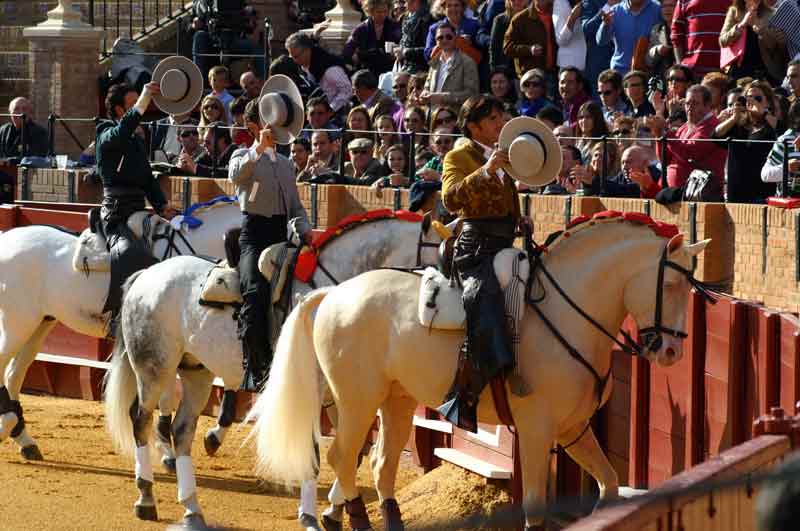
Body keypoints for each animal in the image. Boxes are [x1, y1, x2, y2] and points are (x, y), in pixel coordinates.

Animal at [0, 201, 241, 462]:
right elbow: (167, 395)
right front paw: (168, 450)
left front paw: (212, 436)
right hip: (17, 322)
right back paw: (10, 425)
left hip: (39, 323)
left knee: (14, 374)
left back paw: (24, 440)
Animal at [101, 214, 444, 528]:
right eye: (440, 261)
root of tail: (147, 274)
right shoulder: (311, 389)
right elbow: (316, 452)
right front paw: (310, 516)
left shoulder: (344, 396)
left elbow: (352, 452)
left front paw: (334, 512)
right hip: (154, 367)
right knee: (141, 419)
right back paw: (146, 497)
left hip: (195, 370)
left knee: (182, 429)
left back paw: (192, 508)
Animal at [250, 215, 712, 531]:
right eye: (671, 286)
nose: (672, 351)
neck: (569, 308)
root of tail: (333, 293)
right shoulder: (537, 429)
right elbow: (535, 508)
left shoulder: (573, 428)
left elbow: (611, 484)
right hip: (355, 399)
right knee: (341, 457)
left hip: (395, 399)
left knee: (381, 464)